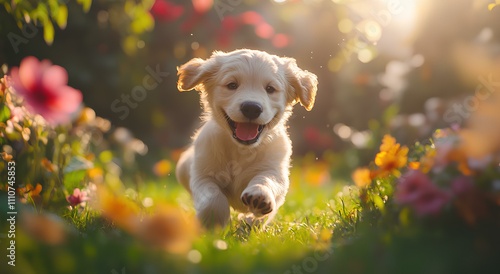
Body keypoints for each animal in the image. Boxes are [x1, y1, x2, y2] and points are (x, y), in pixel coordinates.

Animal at [176, 49, 316, 229]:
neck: (241, 149)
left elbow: (267, 179)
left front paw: (260, 196)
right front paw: (214, 224)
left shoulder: (275, 170)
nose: (251, 108)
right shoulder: (202, 175)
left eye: (270, 89)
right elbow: (213, 199)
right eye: (232, 85)